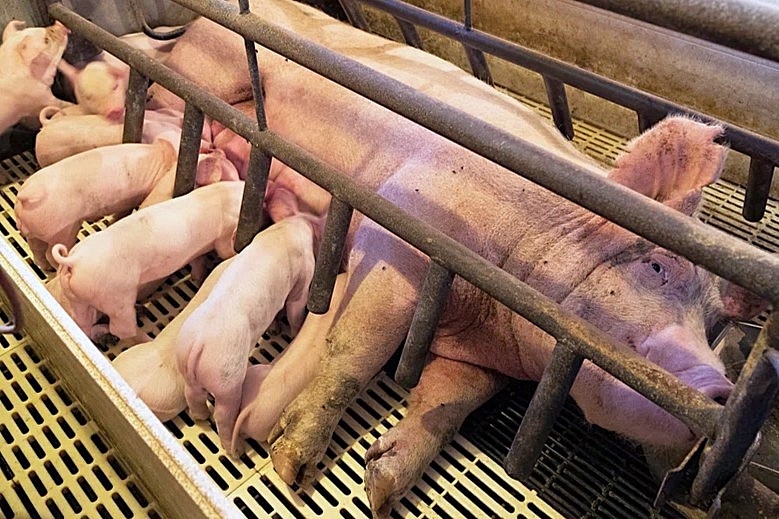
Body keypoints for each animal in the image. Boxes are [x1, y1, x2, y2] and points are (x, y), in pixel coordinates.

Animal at [16, 139, 178, 269]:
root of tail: (29, 192)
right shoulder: (131, 199)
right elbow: (124, 211)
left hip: (33, 230)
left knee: (36, 250)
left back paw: (46, 268)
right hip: (62, 229)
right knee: (50, 253)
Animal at [50, 181, 244, 341]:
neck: (223, 196)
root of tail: (74, 260)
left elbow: (198, 262)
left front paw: (200, 277)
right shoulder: (223, 234)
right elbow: (225, 249)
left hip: (79, 299)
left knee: (83, 324)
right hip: (116, 298)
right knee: (122, 329)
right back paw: (144, 333)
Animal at [176, 202, 321, 452]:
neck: (286, 231)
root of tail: (198, 344)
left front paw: (274, 330)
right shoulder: (304, 274)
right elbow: (295, 307)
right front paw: (295, 330)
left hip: (186, 366)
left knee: (192, 394)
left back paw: (200, 418)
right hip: (227, 379)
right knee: (223, 415)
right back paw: (235, 451)